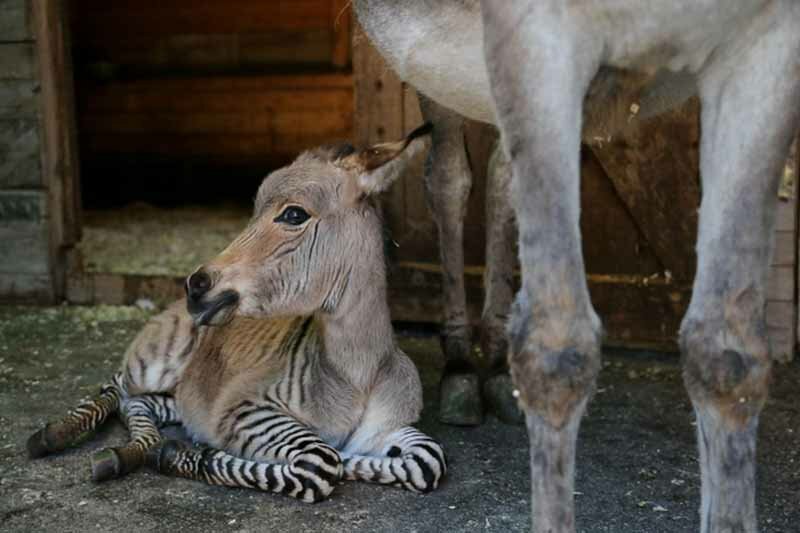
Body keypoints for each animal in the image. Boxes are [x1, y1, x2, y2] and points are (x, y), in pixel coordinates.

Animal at [28, 125, 446, 502]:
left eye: (294, 215)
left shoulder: (393, 427)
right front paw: (192, 457)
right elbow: (321, 462)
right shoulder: (245, 408)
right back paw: (56, 435)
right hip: (156, 362)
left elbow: (426, 460)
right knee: (117, 388)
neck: (357, 371)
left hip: (184, 388)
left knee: (146, 403)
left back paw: (129, 452)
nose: (195, 285)